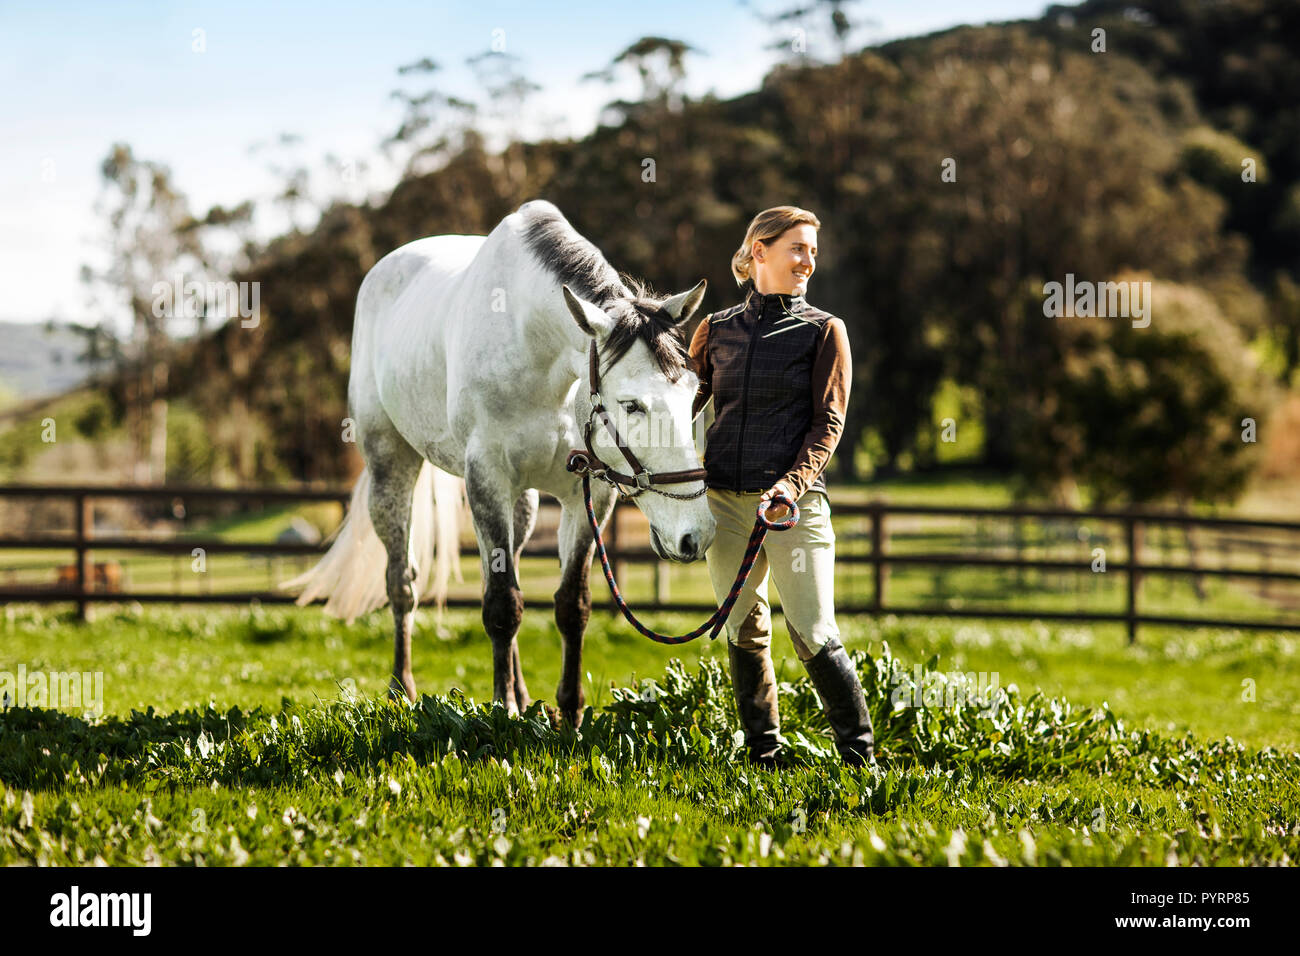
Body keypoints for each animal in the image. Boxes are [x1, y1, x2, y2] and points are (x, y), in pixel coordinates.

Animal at [283, 199, 716, 727]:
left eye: (692, 394)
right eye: (632, 404)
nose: (695, 536)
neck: (535, 349)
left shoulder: (587, 494)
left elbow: (570, 605)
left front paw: (569, 714)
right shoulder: (485, 478)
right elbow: (502, 606)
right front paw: (502, 711)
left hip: (522, 501)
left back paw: (523, 694)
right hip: (391, 468)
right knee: (401, 583)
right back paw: (402, 690)